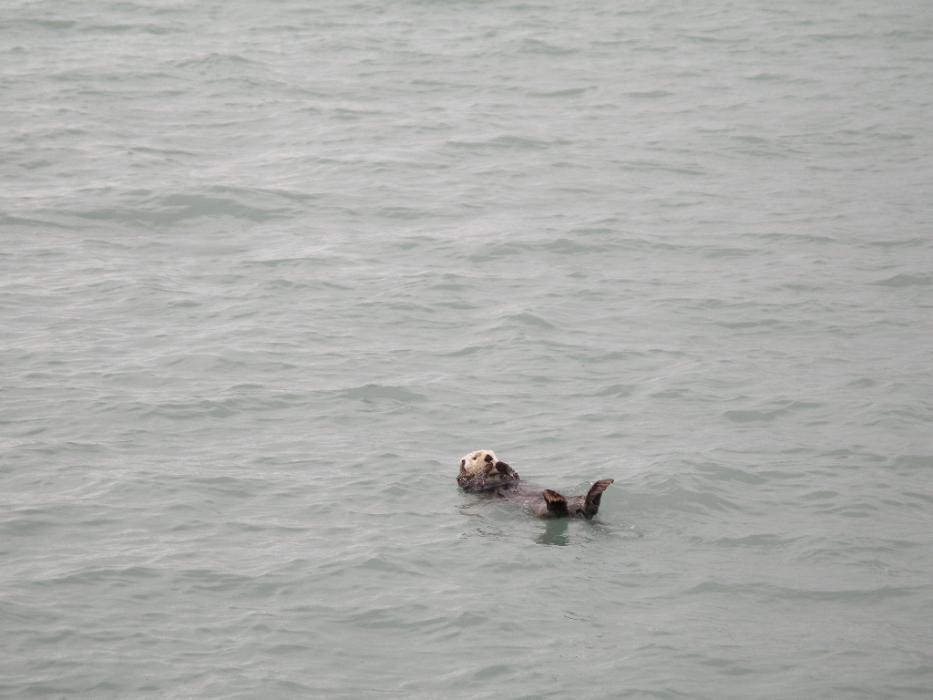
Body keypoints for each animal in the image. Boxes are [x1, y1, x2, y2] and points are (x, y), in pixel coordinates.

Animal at [456, 449, 613, 519]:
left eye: (493, 454)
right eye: (475, 457)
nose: (489, 458)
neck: (494, 476)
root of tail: (575, 514)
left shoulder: (513, 477)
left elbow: (514, 474)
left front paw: (501, 464)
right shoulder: (468, 484)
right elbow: (477, 481)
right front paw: (488, 467)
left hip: (577, 500)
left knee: (589, 508)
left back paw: (597, 489)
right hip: (542, 511)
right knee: (557, 511)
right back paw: (555, 499)